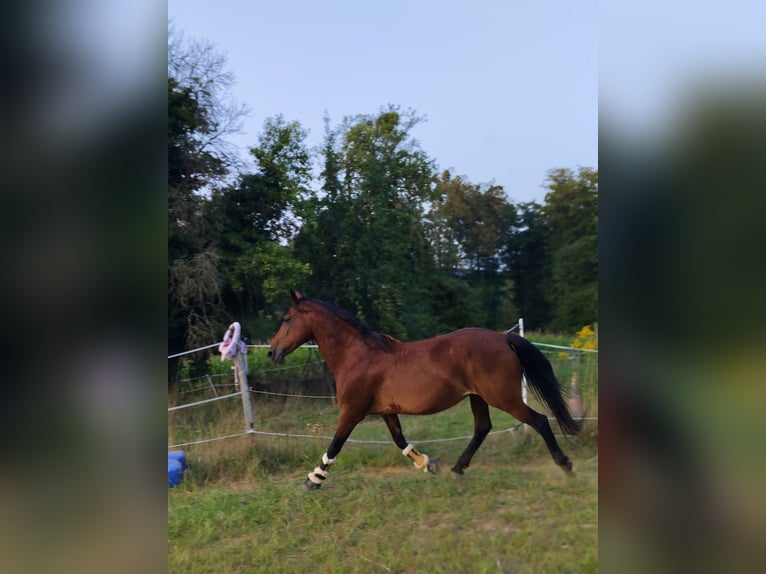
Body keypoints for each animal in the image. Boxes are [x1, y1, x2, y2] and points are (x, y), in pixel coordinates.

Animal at [268, 289, 581, 490]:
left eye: (286, 319)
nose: (272, 352)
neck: (357, 355)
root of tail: (504, 339)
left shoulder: (352, 410)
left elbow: (335, 444)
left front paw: (312, 480)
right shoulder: (385, 411)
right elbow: (400, 441)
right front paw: (429, 464)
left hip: (503, 397)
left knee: (538, 420)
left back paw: (566, 466)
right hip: (478, 397)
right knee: (483, 428)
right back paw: (456, 469)